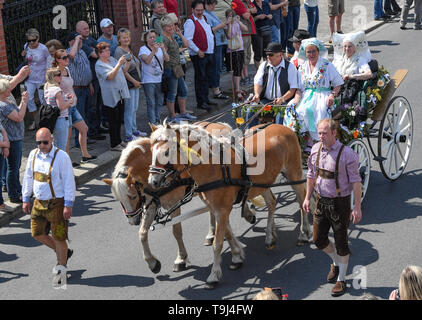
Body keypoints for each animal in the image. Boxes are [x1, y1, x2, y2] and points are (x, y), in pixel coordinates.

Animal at [103, 122, 258, 276]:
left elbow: (176, 231)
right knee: (213, 210)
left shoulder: (173, 204)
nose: (132, 221)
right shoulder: (151, 205)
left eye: (133, 196)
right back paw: (212, 233)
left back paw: (247, 213)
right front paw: (152, 262)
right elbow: (142, 233)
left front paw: (181, 259)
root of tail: (219, 123)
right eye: (119, 200)